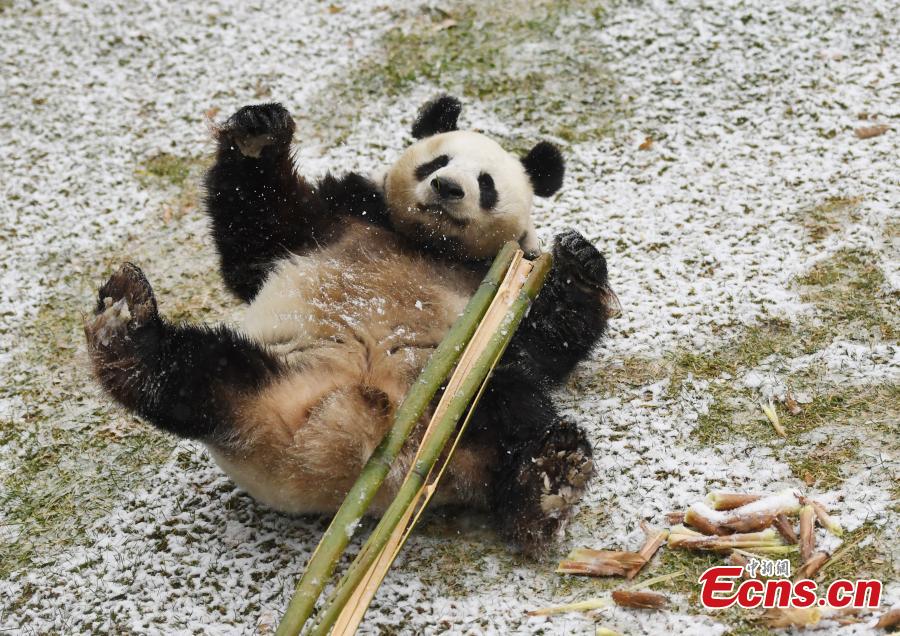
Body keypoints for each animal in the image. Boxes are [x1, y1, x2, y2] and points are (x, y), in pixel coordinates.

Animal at [84, 95, 616, 553]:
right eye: (437, 162)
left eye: (485, 183)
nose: (447, 188)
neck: (432, 245)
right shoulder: (341, 216)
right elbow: (257, 237)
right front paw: (258, 132)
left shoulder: (503, 285)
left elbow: (549, 343)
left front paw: (581, 261)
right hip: (275, 373)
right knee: (193, 373)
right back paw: (126, 333)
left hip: (454, 399)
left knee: (513, 411)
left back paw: (549, 480)